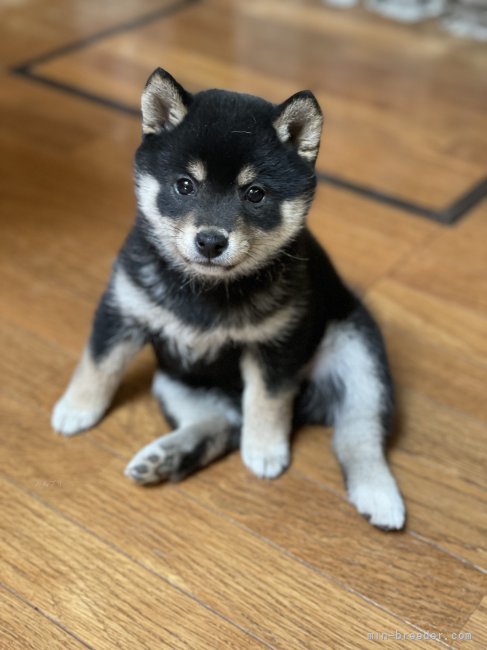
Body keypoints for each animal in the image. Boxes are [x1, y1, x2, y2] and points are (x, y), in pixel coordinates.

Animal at [52, 68, 408, 528]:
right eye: (185, 185)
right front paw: (77, 408)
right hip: (177, 380)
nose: (210, 241)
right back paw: (167, 455)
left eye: (254, 193)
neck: (205, 290)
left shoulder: (278, 345)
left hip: (360, 358)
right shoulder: (123, 310)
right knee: (221, 423)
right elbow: (99, 365)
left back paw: (378, 493)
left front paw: (266, 448)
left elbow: (267, 400)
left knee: (358, 434)